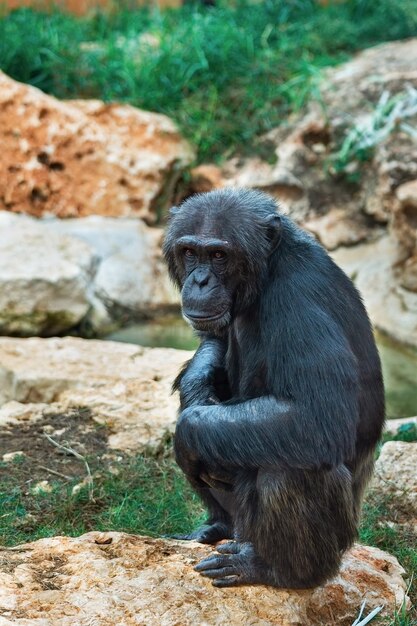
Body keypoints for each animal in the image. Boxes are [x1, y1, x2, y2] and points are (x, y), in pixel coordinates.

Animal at [162, 188, 384, 588]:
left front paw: (190, 429)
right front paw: (195, 387)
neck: (264, 276)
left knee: (289, 467)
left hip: (328, 548)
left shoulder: (299, 302)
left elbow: (317, 416)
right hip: (241, 525)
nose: (200, 280)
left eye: (218, 255)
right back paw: (215, 527)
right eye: (190, 252)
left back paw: (270, 568)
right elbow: (215, 339)